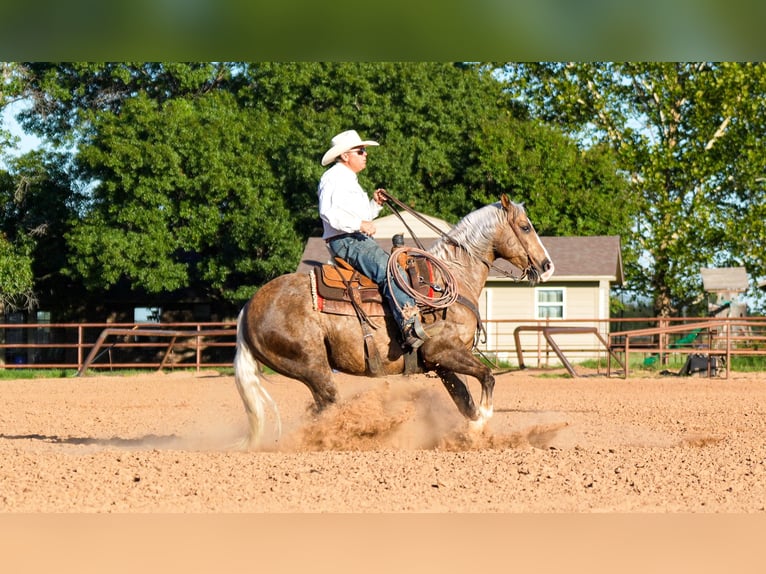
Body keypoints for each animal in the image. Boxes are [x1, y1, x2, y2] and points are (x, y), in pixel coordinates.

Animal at [231, 195, 556, 450]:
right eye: (525, 227)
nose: (547, 266)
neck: (451, 278)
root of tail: (249, 308)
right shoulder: (442, 351)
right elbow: (487, 378)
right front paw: (480, 426)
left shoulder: (442, 363)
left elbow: (465, 401)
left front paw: (472, 434)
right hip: (313, 367)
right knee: (327, 410)